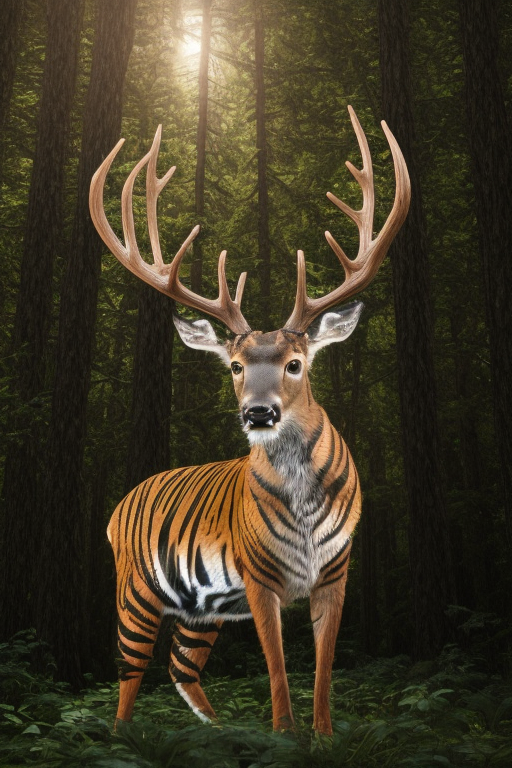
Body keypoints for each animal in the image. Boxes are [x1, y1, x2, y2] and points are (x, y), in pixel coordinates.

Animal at [89, 106, 410, 735]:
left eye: (295, 363)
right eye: (235, 366)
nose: (258, 412)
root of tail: (117, 508)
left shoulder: (337, 573)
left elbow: (324, 671)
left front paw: (324, 739)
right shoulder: (259, 576)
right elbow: (279, 671)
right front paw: (285, 736)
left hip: (203, 607)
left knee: (181, 666)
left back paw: (219, 732)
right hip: (135, 589)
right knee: (128, 674)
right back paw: (120, 738)